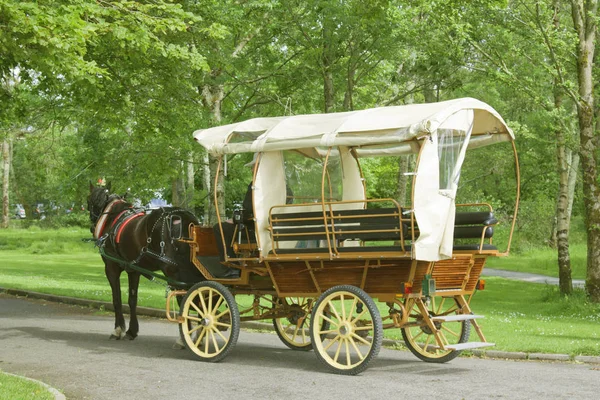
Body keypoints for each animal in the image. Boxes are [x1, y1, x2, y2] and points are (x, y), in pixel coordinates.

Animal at [86, 183, 204, 340]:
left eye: (89, 201)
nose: (92, 225)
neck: (113, 218)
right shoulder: (134, 270)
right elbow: (132, 299)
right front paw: (131, 330)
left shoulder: (111, 268)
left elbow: (117, 299)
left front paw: (118, 329)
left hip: (172, 271)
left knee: (184, 297)